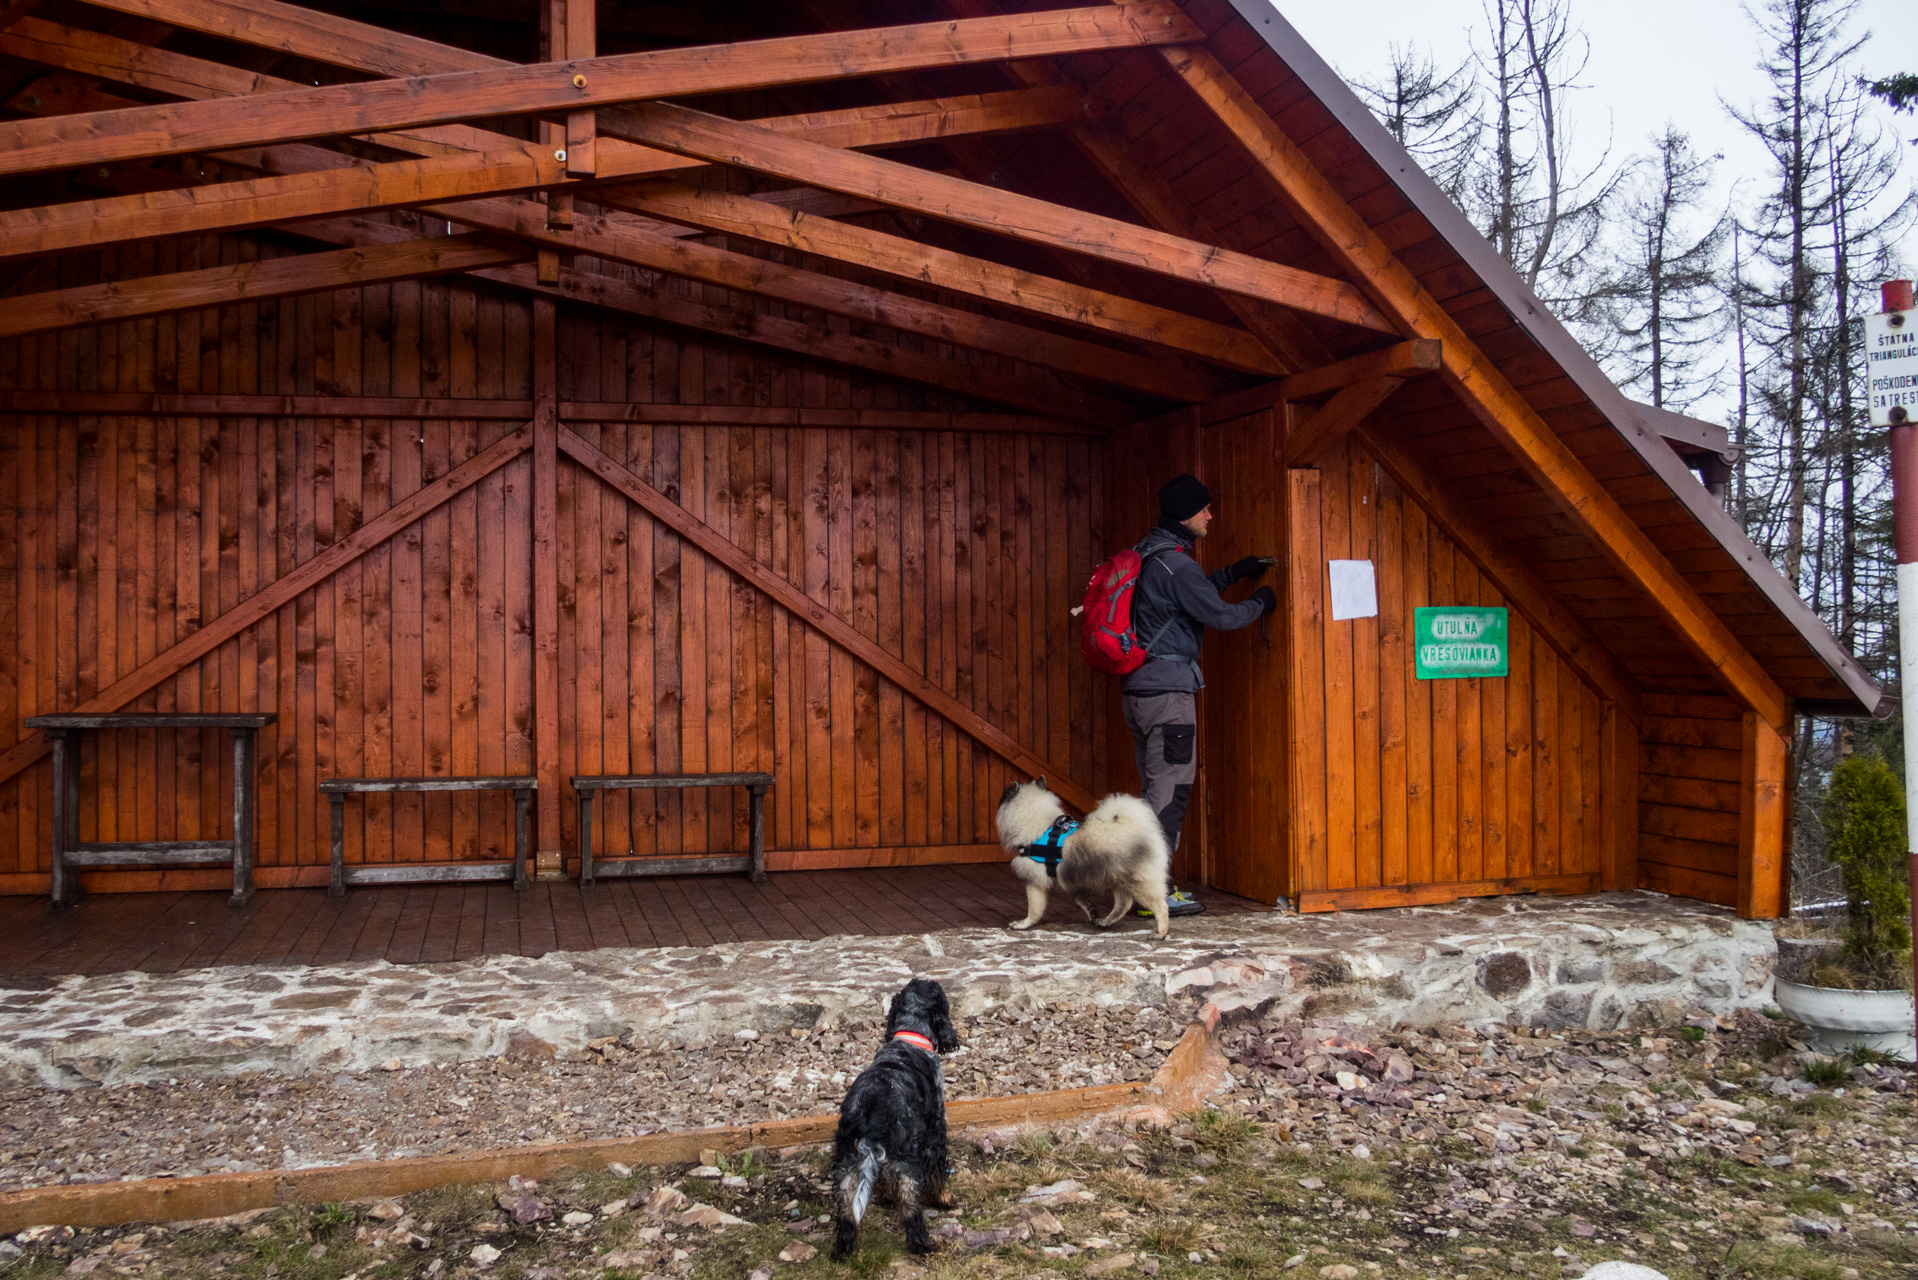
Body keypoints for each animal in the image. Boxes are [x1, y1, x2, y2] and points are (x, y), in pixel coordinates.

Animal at [1005, 775, 1166, 936]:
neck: (1041, 827)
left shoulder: (1035, 881)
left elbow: (1034, 909)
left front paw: (1023, 924)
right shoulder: (1075, 883)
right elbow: (1085, 903)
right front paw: (1093, 915)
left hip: (1137, 882)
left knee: (1160, 906)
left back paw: (1161, 933)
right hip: (1118, 879)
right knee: (1123, 905)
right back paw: (1106, 921)